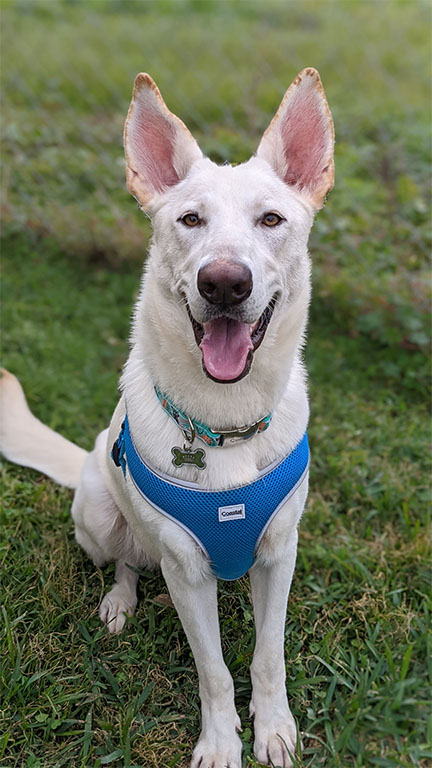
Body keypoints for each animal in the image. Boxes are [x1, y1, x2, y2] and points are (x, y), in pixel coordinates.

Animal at [0, 67, 334, 768]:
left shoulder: (280, 553)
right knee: (128, 559)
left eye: (271, 218)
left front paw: (273, 728)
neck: (225, 425)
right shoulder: (184, 570)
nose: (225, 283)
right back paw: (118, 603)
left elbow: (267, 657)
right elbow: (215, 671)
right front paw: (220, 742)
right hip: (98, 516)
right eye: (190, 218)